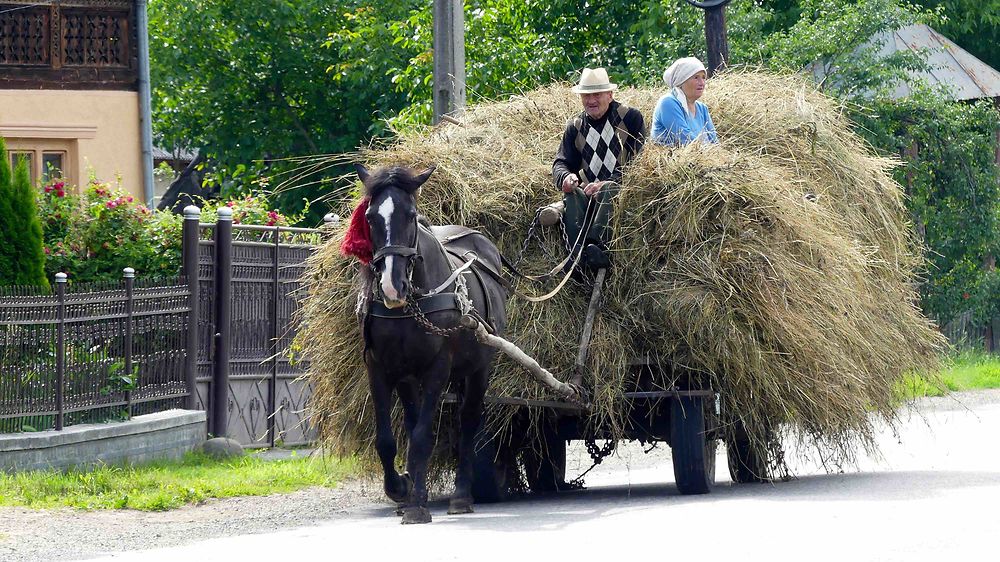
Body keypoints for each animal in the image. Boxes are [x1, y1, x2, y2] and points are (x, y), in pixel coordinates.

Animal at [352, 161, 508, 520]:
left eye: (411, 215)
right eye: (370, 217)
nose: (392, 286)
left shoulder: (438, 368)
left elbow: (424, 437)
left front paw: (416, 505)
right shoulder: (379, 368)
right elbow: (388, 440)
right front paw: (402, 488)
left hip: (479, 369)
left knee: (468, 422)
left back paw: (462, 495)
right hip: (411, 378)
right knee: (414, 423)